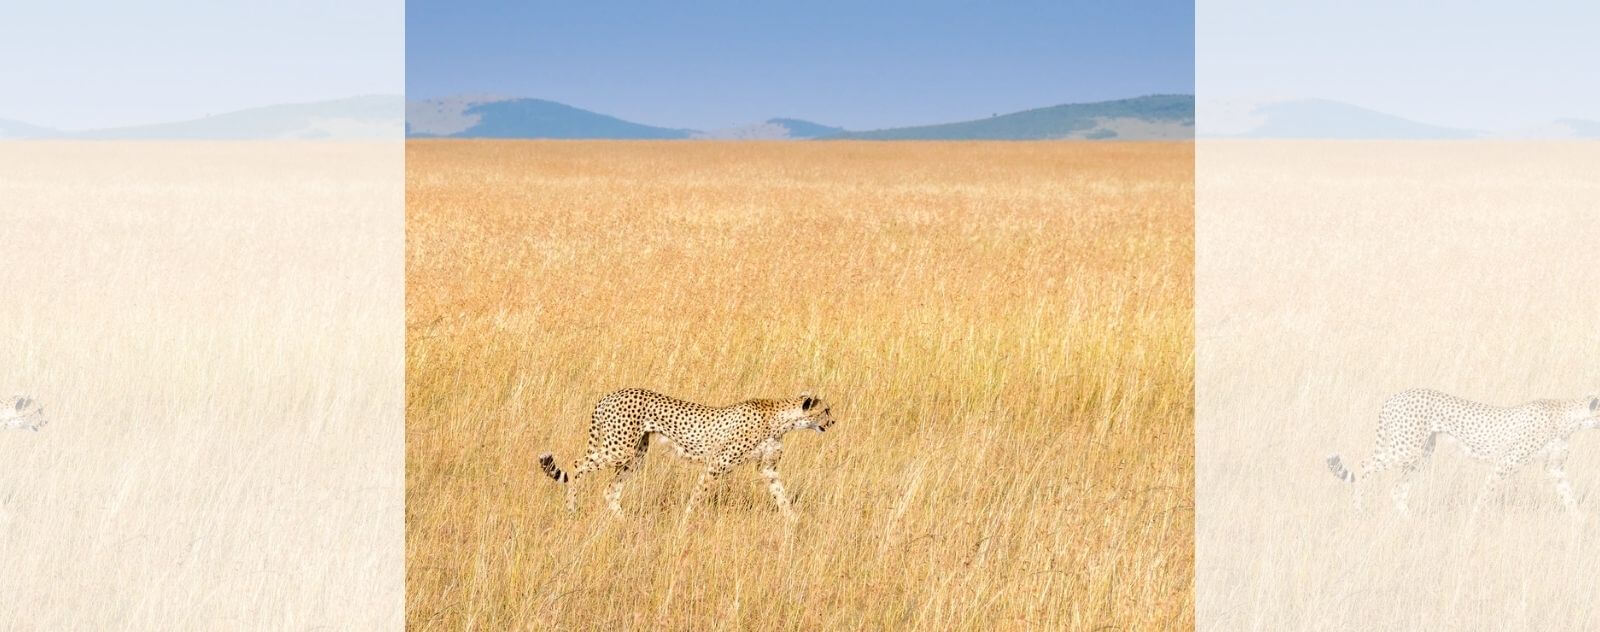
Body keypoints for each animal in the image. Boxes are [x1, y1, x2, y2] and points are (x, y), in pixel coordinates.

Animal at [537, 388, 838, 528]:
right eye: (825, 410)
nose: (833, 421)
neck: (780, 419)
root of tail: (608, 395)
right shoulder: (716, 465)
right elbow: (698, 496)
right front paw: (685, 521)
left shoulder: (768, 469)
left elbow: (781, 496)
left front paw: (795, 521)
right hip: (618, 449)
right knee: (577, 466)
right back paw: (572, 509)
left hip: (636, 455)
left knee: (610, 489)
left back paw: (626, 522)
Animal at [1324, 388, 1600, 518]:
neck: (1567, 417)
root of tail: (1395, 396)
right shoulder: (1505, 464)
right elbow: (1485, 495)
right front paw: (1473, 521)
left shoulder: (1554, 468)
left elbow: (1568, 497)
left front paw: (1579, 524)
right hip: (1405, 448)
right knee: (1363, 465)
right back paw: (1359, 510)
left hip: (1422, 454)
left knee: (1397, 489)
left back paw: (1409, 520)